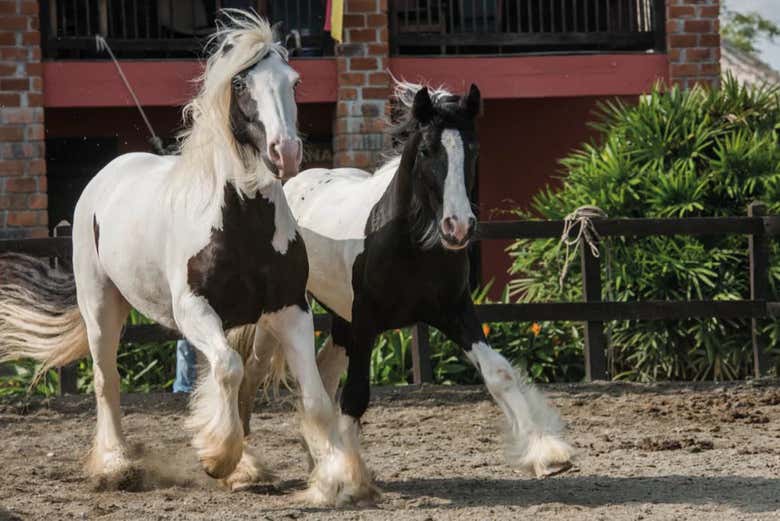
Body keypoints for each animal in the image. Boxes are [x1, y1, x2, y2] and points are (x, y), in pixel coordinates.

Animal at [0, 13, 350, 500]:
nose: (286, 152)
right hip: (101, 306)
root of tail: (107, 175)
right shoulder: (191, 309)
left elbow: (312, 396)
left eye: (294, 82)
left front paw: (337, 478)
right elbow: (229, 369)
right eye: (240, 83)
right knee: (108, 380)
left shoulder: (289, 308)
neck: (242, 223)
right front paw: (218, 459)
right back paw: (116, 465)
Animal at [235, 80, 576, 500]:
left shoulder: (455, 312)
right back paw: (245, 469)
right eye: (428, 150)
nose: (458, 227)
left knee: (322, 375)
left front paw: (548, 454)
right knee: (253, 375)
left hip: (341, 320)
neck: (407, 243)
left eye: (474, 148)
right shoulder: (366, 324)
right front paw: (351, 478)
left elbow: (498, 373)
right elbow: (356, 395)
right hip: (284, 317)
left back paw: (318, 463)